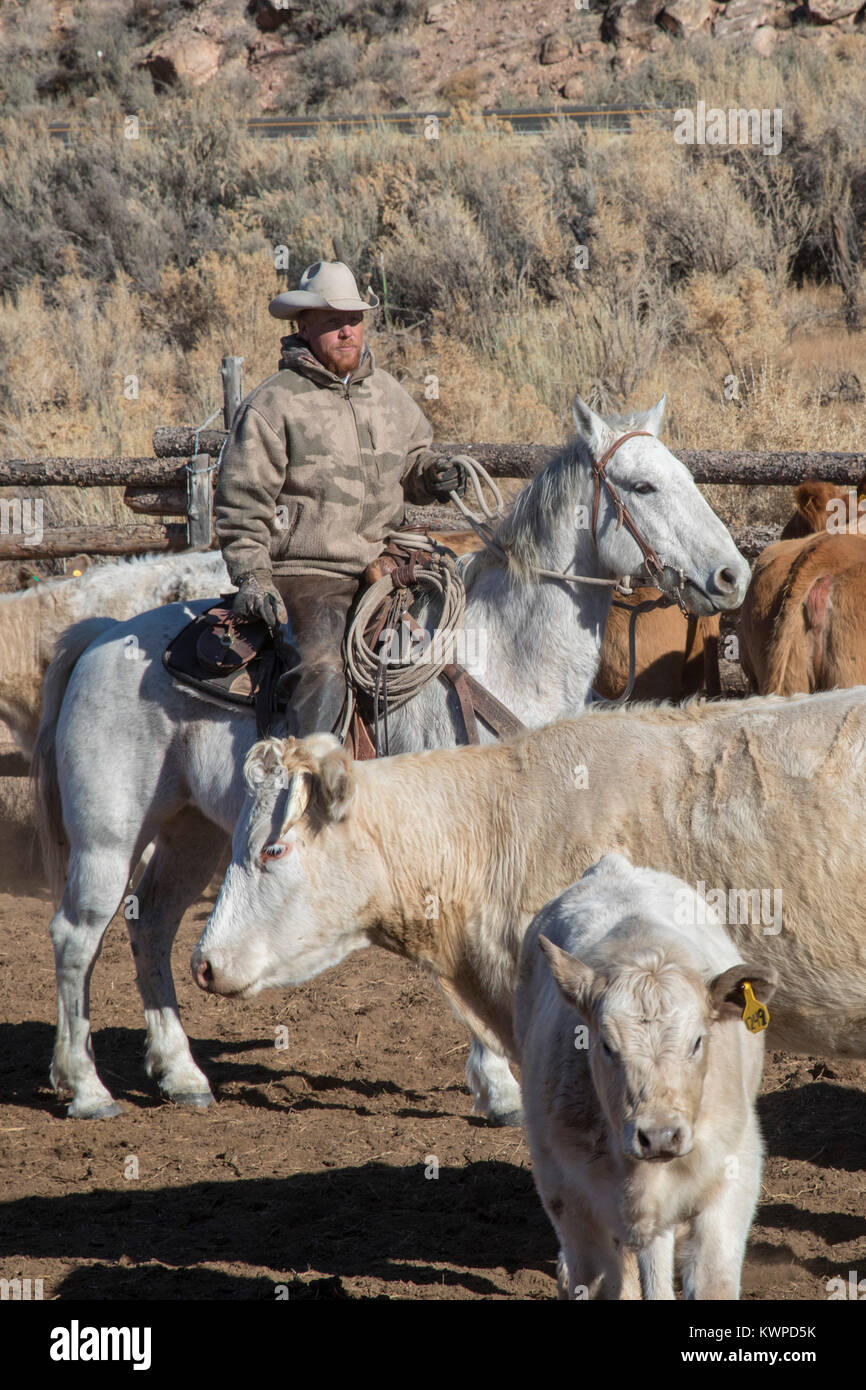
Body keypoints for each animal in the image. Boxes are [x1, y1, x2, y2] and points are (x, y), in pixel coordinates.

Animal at [513, 853, 777, 1300]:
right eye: (606, 1046)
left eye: (697, 1041)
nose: (659, 1136)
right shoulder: (566, 1193)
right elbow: (599, 1279)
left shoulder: (733, 1172)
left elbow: (712, 1279)